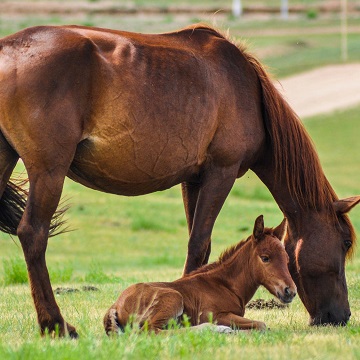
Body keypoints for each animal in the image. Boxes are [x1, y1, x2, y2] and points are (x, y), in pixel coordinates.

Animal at [103, 214, 296, 334]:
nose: (290, 291)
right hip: (173, 298)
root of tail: (115, 305)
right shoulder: (214, 315)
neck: (225, 285)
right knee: (151, 331)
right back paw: (216, 330)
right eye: (265, 258)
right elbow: (261, 325)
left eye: (287, 258)